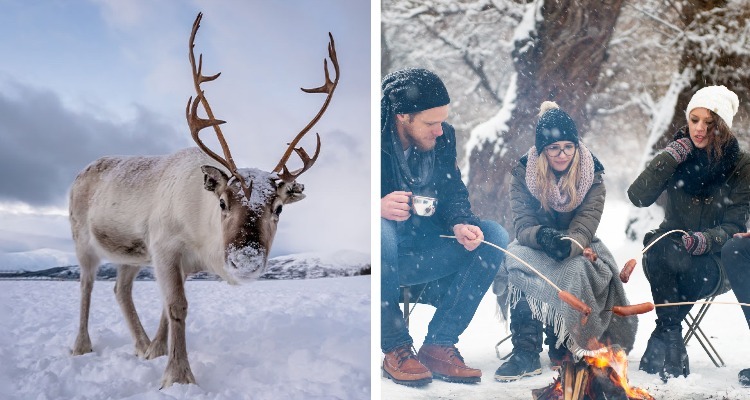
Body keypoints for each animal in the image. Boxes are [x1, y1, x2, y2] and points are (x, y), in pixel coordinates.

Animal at [67, 12, 339, 388]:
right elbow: (177, 307)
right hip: (83, 239)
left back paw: (140, 345)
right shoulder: (165, 247)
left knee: (120, 290)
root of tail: (81, 172)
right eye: (223, 202)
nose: (245, 259)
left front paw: (157, 352)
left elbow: (167, 308)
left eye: (279, 208)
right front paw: (178, 376)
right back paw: (81, 346)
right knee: (86, 285)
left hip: (131, 255)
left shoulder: (177, 261)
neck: (201, 235)